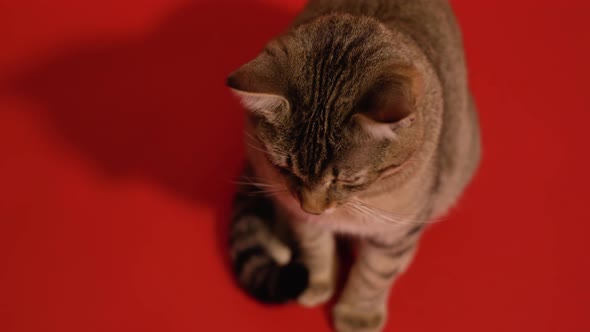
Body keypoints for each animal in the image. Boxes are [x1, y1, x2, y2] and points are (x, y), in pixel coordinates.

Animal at [227, 1, 480, 330]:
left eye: (347, 180)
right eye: (286, 169)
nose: (313, 208)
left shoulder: (395, 230)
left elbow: (373, 275)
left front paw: (358, 313)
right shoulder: (296, 206)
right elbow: (315, 247)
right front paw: (317, 281)